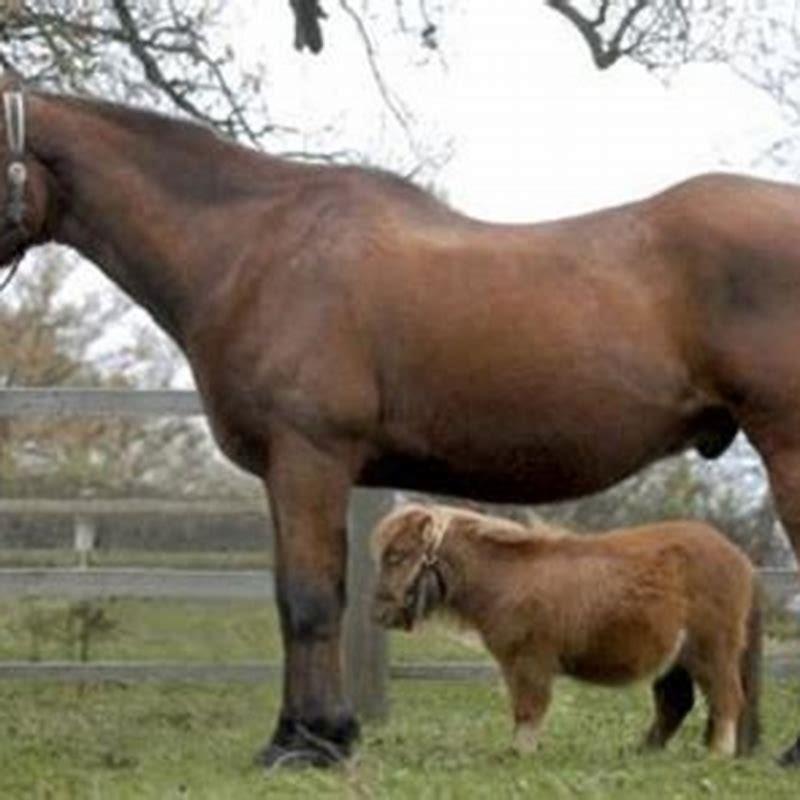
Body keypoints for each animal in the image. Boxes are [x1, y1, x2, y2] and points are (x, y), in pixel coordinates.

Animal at [371, 503, 762, 758]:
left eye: (397, 555)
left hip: (711, 650)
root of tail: (741, 558)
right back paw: (645, 752)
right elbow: (523, 708)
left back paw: (718, 754)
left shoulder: (529, 662)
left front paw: (521, 753)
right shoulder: (516, 665)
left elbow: (529, 708)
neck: (509, 580)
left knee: (726, 698)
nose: (379, 614)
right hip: (674, 661)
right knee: (675, 704)